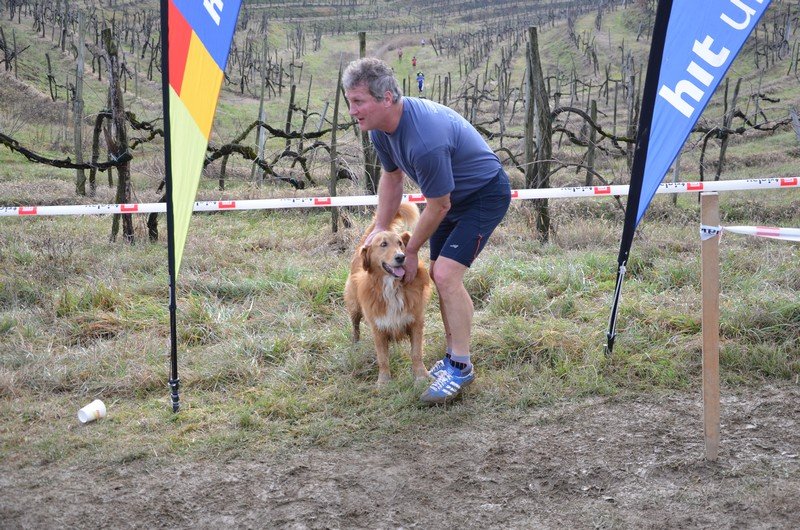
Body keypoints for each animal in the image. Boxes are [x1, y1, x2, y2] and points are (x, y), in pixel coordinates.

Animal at [344, 203, 432, 385]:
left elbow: (416, 353)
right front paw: (384, 381)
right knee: (355, 325)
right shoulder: (378, 327)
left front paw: (421, 376)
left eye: (400, 243)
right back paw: (355, 344)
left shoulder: (416, 322)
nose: (401, 257)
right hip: (354, 305)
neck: (392, 287)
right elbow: (382, 358)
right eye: (383, 244)